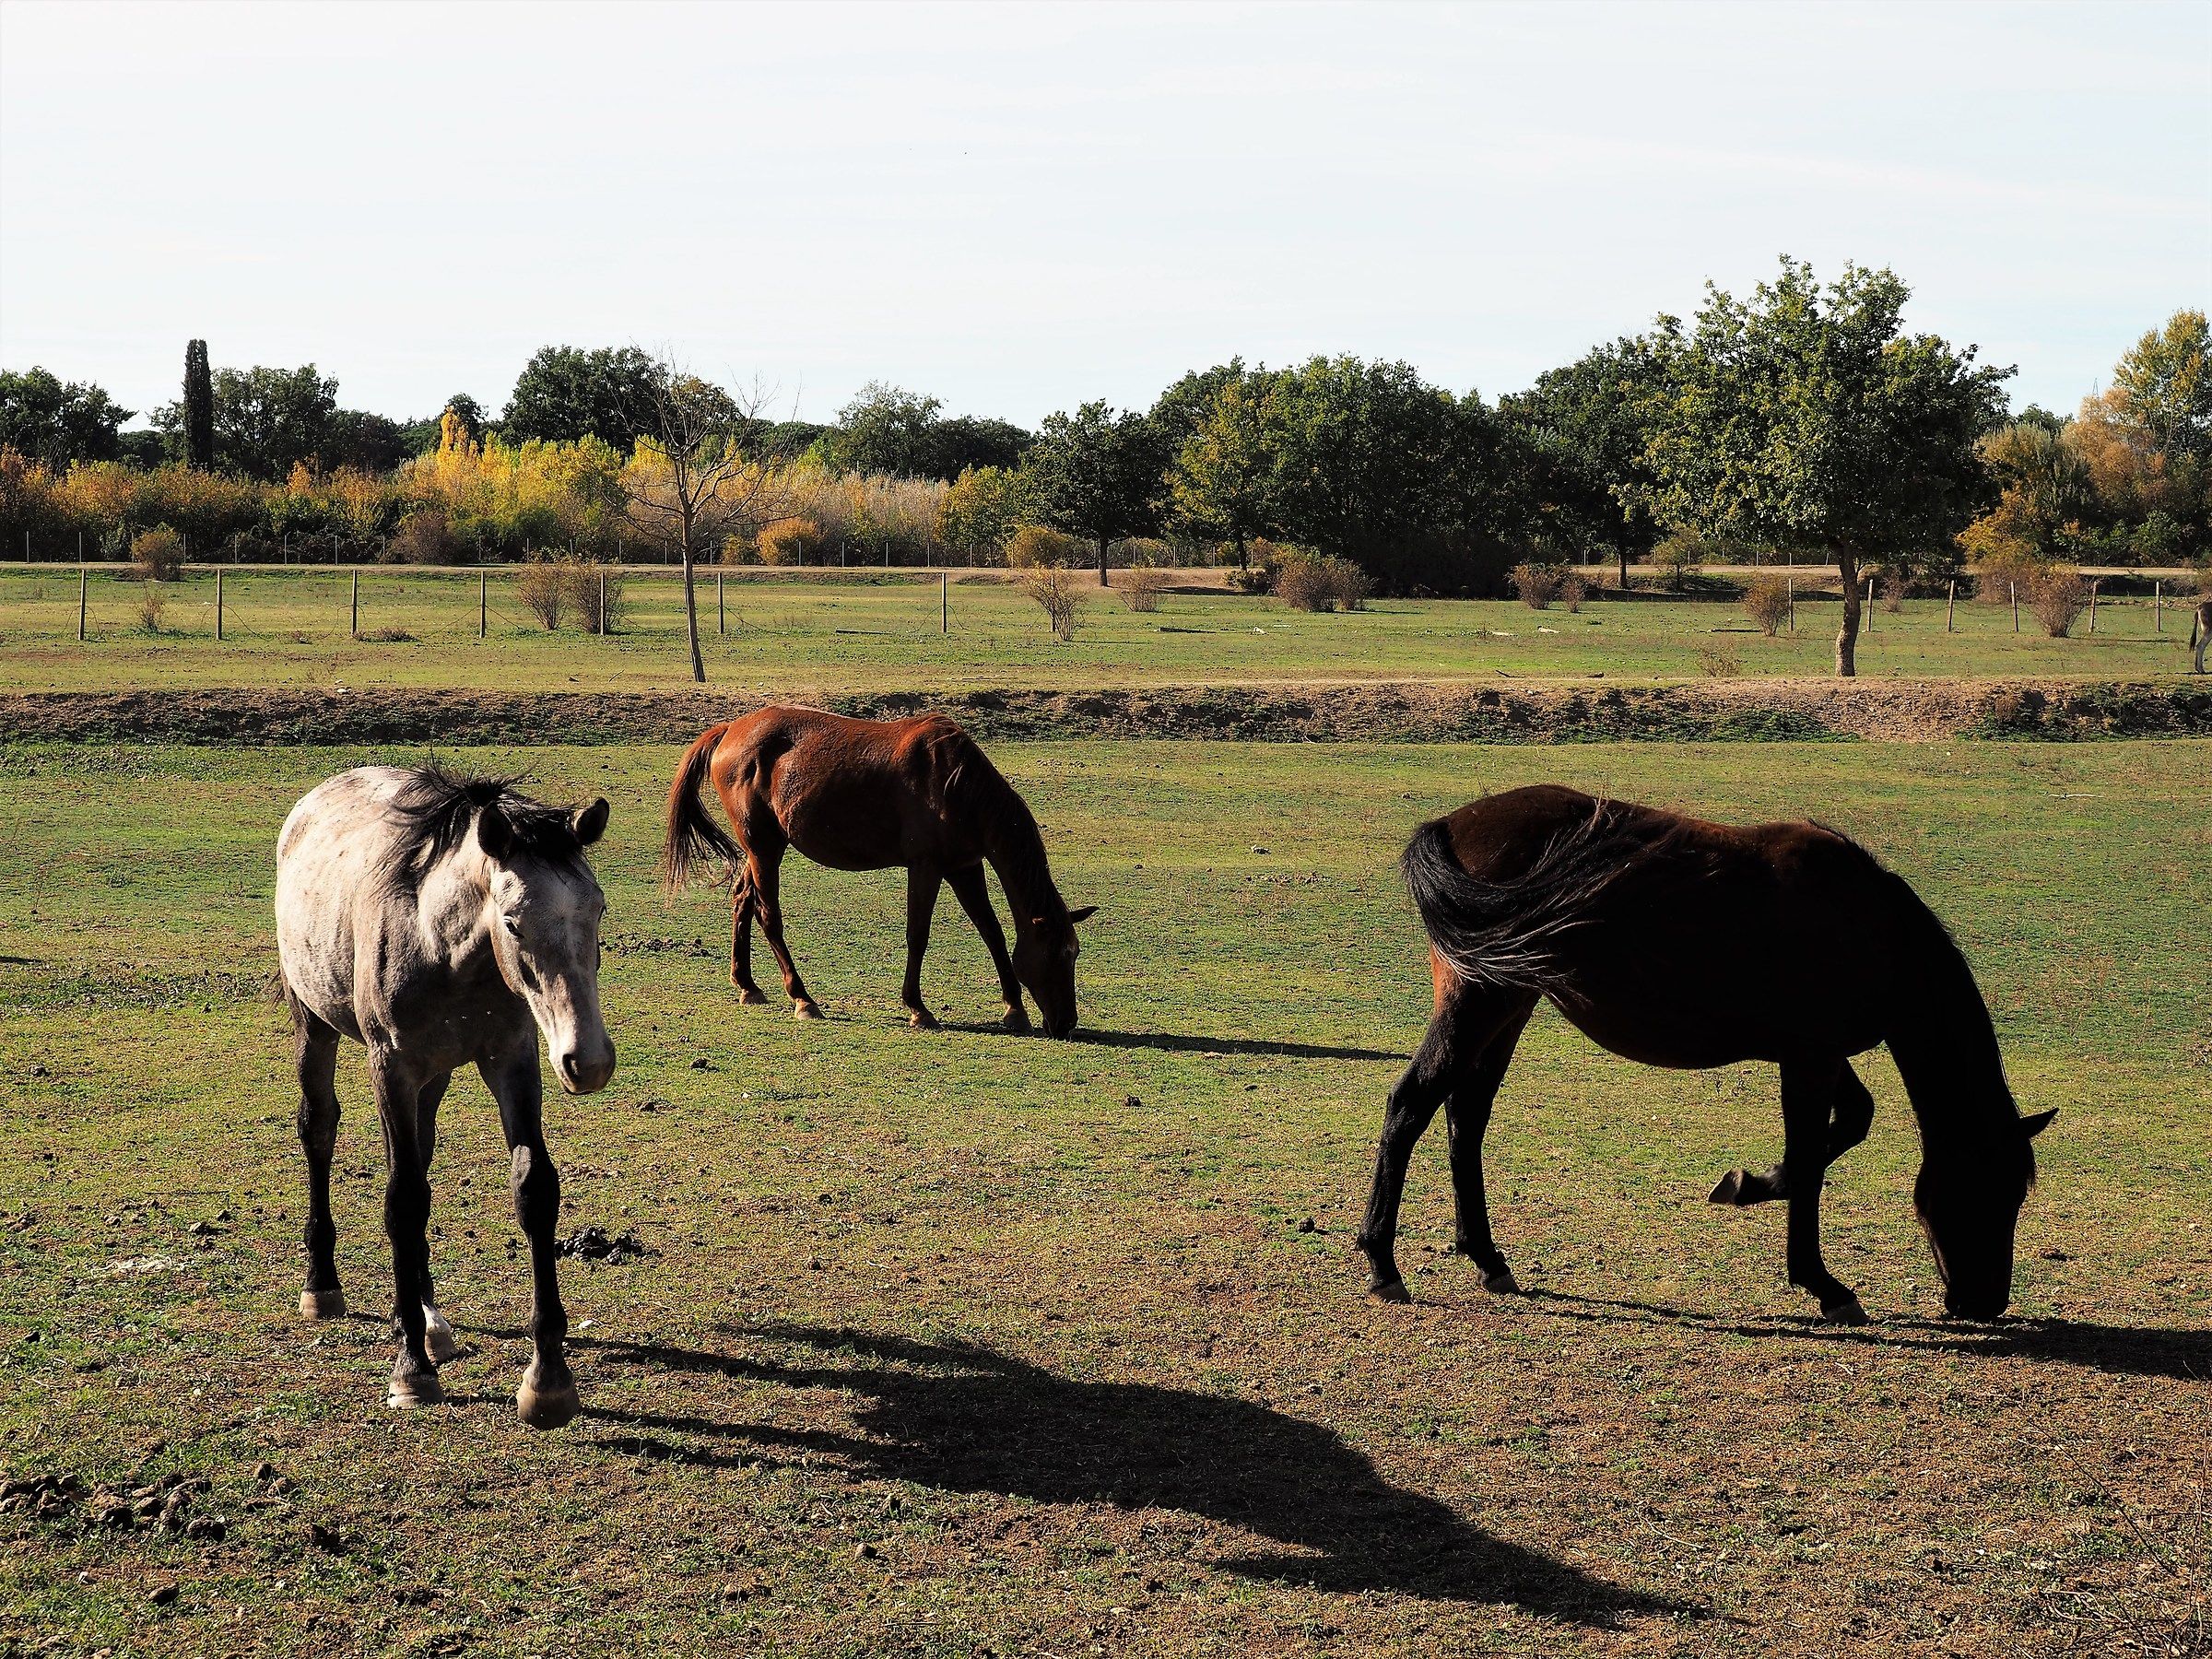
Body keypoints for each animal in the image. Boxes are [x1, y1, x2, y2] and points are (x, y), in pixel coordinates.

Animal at [275, 765, 614, 1426]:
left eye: (598, 910)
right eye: (514, 922)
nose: (588, 1062)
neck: (440, 945)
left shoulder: (512, 1059)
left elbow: (533, 1189)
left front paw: (549, 1380)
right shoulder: (392, 1065)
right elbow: (402, 1201)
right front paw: (411, 1370)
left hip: (434, 1077)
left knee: (420, 1160)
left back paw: (428, 1317)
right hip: (316, 1023)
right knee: (320, 1130)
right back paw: (324, 1285)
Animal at [661, 707, 1095, 1037]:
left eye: (1073, 952)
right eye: (1057, 953)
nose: (1066, 1023)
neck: (956, 784)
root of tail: (730, 731)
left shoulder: (965, 867)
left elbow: (991, 932)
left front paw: (1014, 1010)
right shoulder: (926, 867)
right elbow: (918, 935)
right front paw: (918, 1008)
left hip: (761, 851)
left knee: (742, 901)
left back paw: (747, 985)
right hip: (764, 849)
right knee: (768, 916)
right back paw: (802, 999)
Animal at [1355, 784, 2054, 1325]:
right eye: (1992, 1191)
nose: (1986, 1303)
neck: (1871, 925)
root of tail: (1452, 825)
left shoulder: (1815, 1052)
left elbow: (1851, 1122)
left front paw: (1748, 1185)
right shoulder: (1810, 1060)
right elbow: (1809, 1161)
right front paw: (1823, 1283)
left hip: (1507, 1004)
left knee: (1465, 1118)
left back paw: (1486, 1258)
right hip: (1480, 1001)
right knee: (1411, 1107)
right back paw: (1384, 1265)